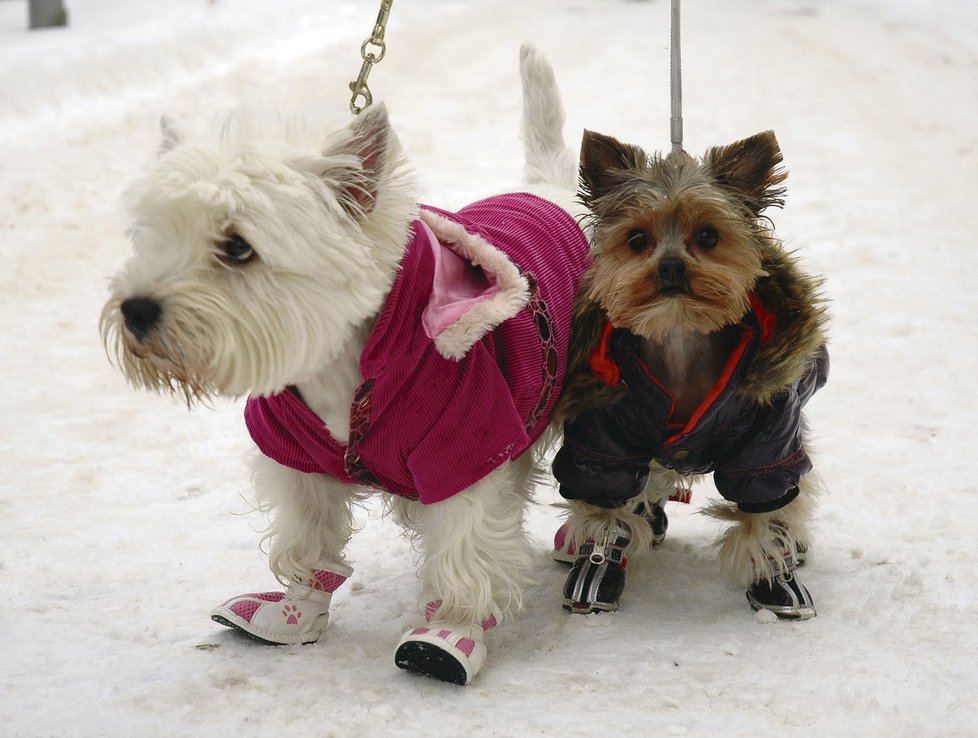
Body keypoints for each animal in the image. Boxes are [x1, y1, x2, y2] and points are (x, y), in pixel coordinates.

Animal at [101, 47, 588, 684]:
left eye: (237, 246)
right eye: (153, 236)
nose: (135, 310)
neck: (338, 369)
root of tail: (547, 188)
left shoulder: (463, 447)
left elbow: (465, 554)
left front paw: (448, 633)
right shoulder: (295, 452)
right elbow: (307, 538)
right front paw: (293, 614)